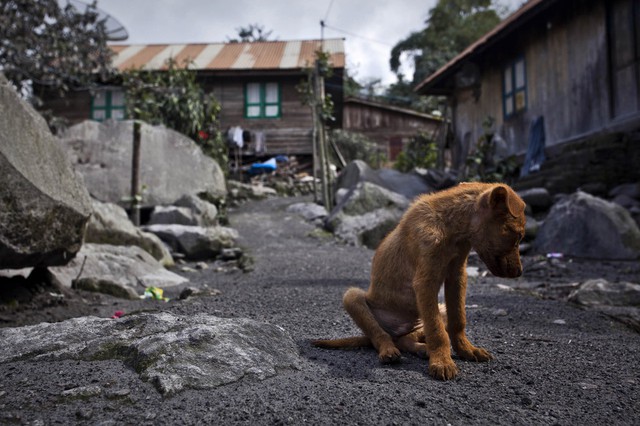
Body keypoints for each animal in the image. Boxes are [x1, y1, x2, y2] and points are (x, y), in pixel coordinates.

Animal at [312, 182, 528, 380]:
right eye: (518, 236)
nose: (519, 273)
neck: (449, 227)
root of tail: (396, 331)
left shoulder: (457, 276)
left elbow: (458, 320)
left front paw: (466, 350)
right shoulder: (425, 281)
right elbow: (437, 331)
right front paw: (442, 362)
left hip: (436, 311)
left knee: (405, 339)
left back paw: (421, 349)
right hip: (353, 297)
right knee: (379, 335)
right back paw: (389, 351)